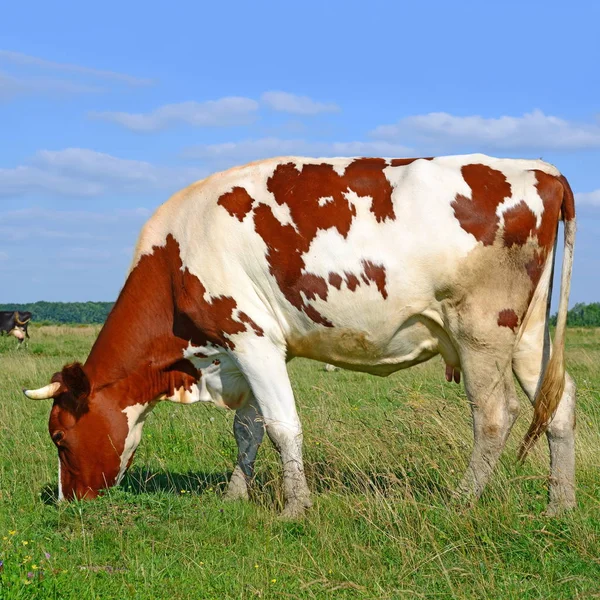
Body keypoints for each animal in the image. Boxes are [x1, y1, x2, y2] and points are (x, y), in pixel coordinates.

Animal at [24, 154, 576, 516]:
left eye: (59, 436)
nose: (67, 503)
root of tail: (541, 169)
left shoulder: (250, 337)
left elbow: (282, 426)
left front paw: (295, 508)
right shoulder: (247, 349)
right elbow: (247, 428)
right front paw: (235, 495)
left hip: (481, 330)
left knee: (494, 416)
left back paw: (461, 502)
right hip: (530, 334)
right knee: (560, 403)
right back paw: (559, 505)